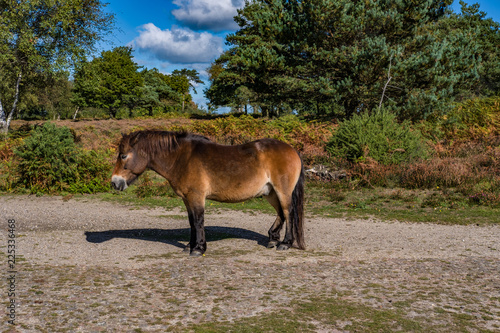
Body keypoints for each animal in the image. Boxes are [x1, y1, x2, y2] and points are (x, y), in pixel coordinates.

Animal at [110, 131, 304, 255]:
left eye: (123, 156)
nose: (114, 182)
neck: (182, 158)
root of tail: (292, 149)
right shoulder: (187, 199)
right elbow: (191, 222)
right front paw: (190, 245)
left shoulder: (196, 197)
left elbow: (198, 221)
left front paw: (198, 248)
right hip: (270, 192)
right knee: (281, 213)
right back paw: (272, 239)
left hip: (282, 191)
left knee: (288, 212)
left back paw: (285, 243)